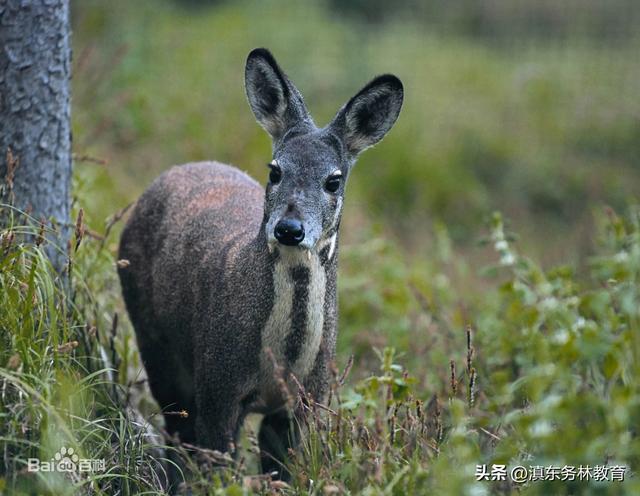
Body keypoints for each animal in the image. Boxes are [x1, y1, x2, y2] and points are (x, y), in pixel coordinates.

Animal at [117, 48, 402, 478]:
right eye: (275, 170)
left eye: (333, 180)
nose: (289, 228)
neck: (281, 362)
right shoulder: (218, 385)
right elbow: (216, 465)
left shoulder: (306, 401)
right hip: (153, 338)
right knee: (175, 427)